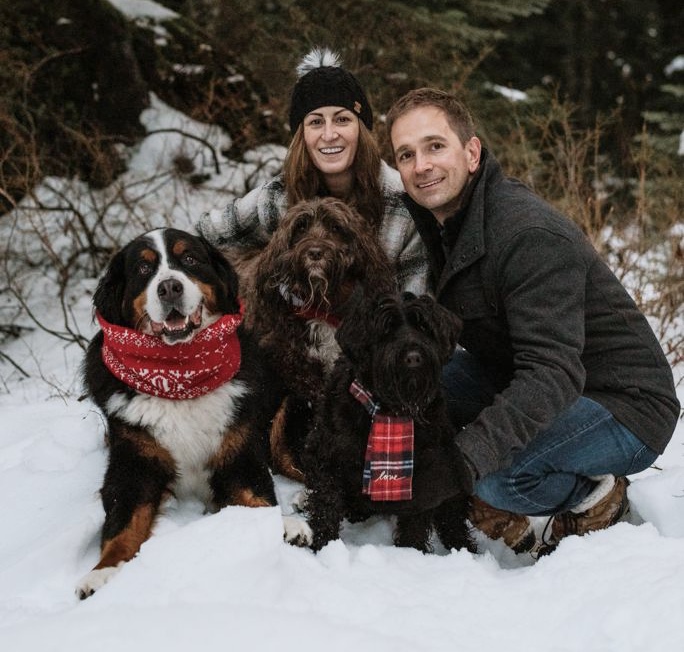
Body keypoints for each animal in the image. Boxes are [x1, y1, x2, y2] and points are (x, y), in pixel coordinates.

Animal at [76, 227, 283, 599]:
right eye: (143, 269)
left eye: (189, 259)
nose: (169, 287)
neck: (178, 375)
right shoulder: (134, 463)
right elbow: (122, 525)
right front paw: (101, 573)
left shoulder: (237, 451)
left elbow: (257, 497)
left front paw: (283, 529)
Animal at [289, 291, 476, 553]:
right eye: (386, 329)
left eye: (424, 326)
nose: (413, 358)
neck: (389, 412)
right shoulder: (325, 456)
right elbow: (326, 505)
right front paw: (323, 544)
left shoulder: (426, 476)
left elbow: (416, 523)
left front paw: (411, 553)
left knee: (453, 520)